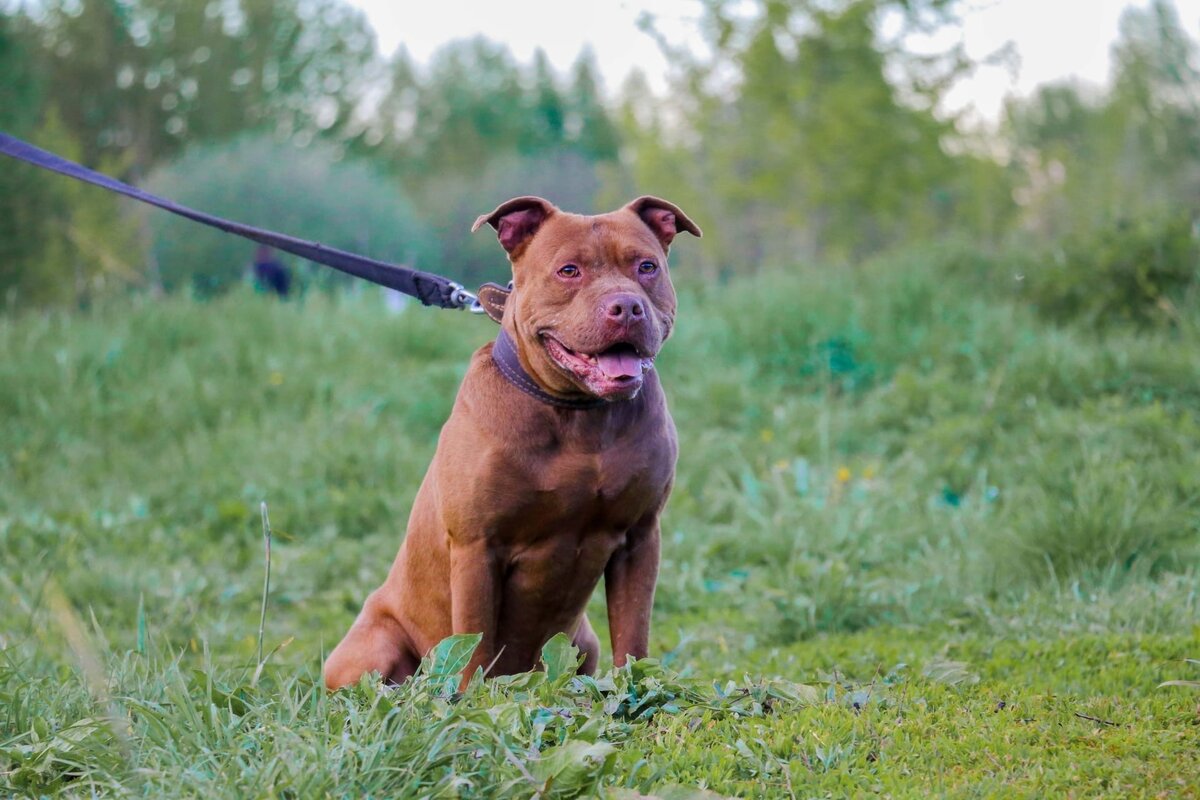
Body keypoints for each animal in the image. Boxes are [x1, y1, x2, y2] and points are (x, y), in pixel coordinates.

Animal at [324, 194, 700, 690]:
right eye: (568, 270)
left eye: (646, 266)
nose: (626, 307)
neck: (580, 416)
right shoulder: (477, 547)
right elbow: (474, 640)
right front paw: (471, 698)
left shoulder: (639, 537)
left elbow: (633, 632)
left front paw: (634, 687)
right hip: (372, 648)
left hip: (584, 641)